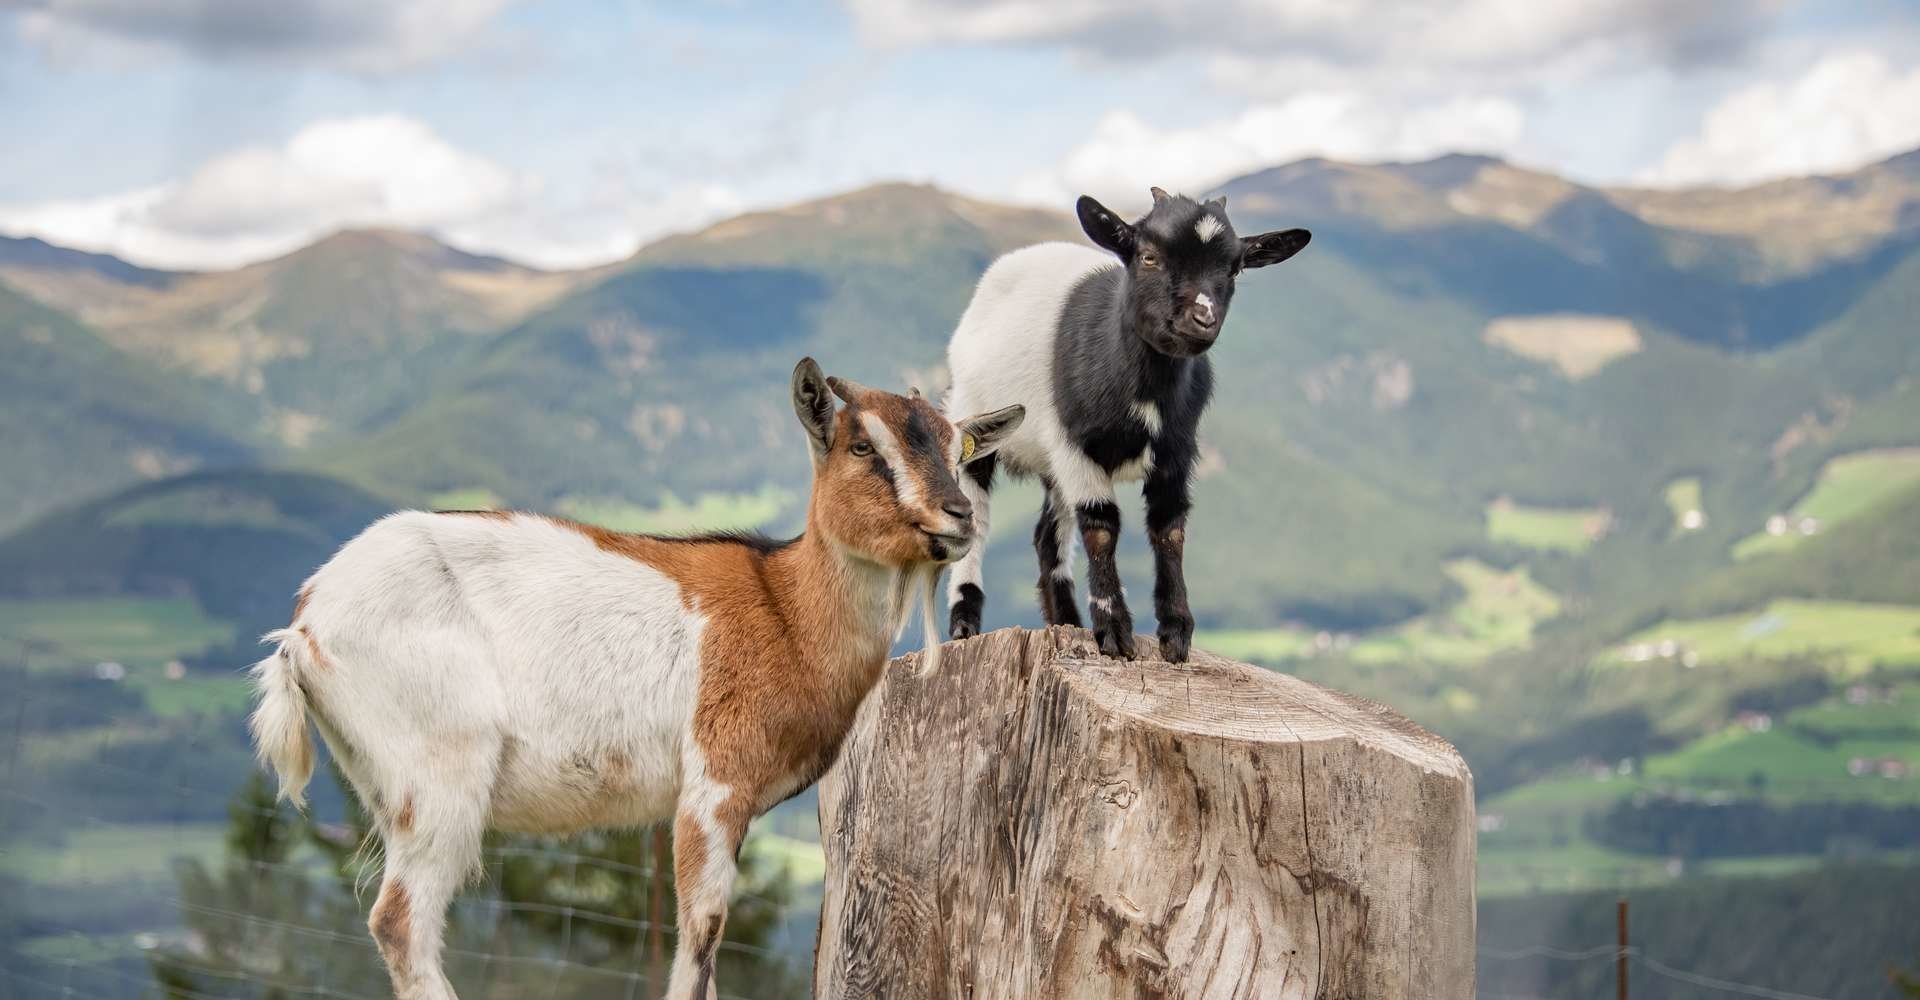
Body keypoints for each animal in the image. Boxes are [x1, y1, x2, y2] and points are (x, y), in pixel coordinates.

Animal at [249, 358, 1029, 998]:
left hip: (392, 791)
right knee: (400, 922)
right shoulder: (713, 784)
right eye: (863, 446)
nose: (958, 515)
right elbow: (702, 937)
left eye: (958, 450)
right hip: (440, 775)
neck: (786, 607)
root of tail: (306, 624)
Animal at [948, 185, 1313, 664]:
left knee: (1047, 534)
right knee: (976, 518)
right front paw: (1114, 630)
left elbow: (1169, 528)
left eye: (1234, 267)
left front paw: (1176, 630)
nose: (1203, 320)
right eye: (1149, 256)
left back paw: (1066, 621)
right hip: (975, 419)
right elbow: (1102, 526)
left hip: (1051, 460)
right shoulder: (1077, 447)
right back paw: (964, 622)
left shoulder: (1177, 451)